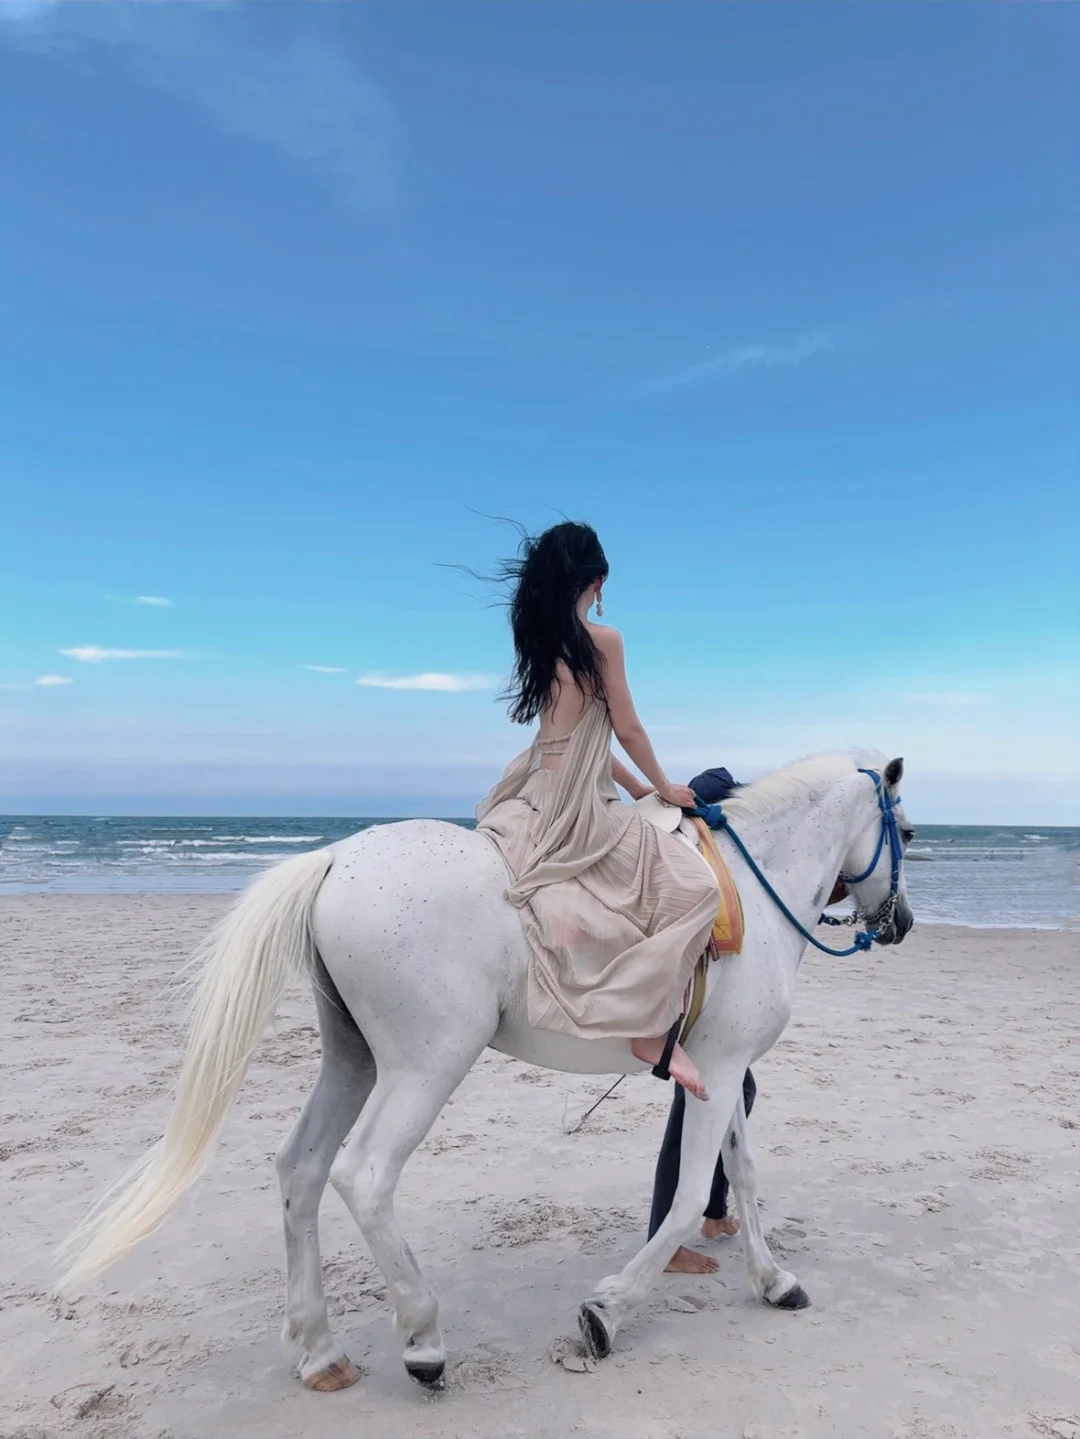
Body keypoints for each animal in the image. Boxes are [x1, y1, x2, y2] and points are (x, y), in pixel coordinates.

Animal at [58, 754, 914, 1392]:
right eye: (906, 829)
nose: (900, 921)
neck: (756, 883)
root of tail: (335, 857)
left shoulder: (723, 1068)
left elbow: (742, 1173)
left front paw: (774, 1281)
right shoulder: (722, 1069)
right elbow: (684, 1203)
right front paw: (606, 1311)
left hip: (353, 1058)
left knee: (300, 1167)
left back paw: (319, 1349)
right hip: (428, 1063)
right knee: (364, 1174)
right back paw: (423, 1340)